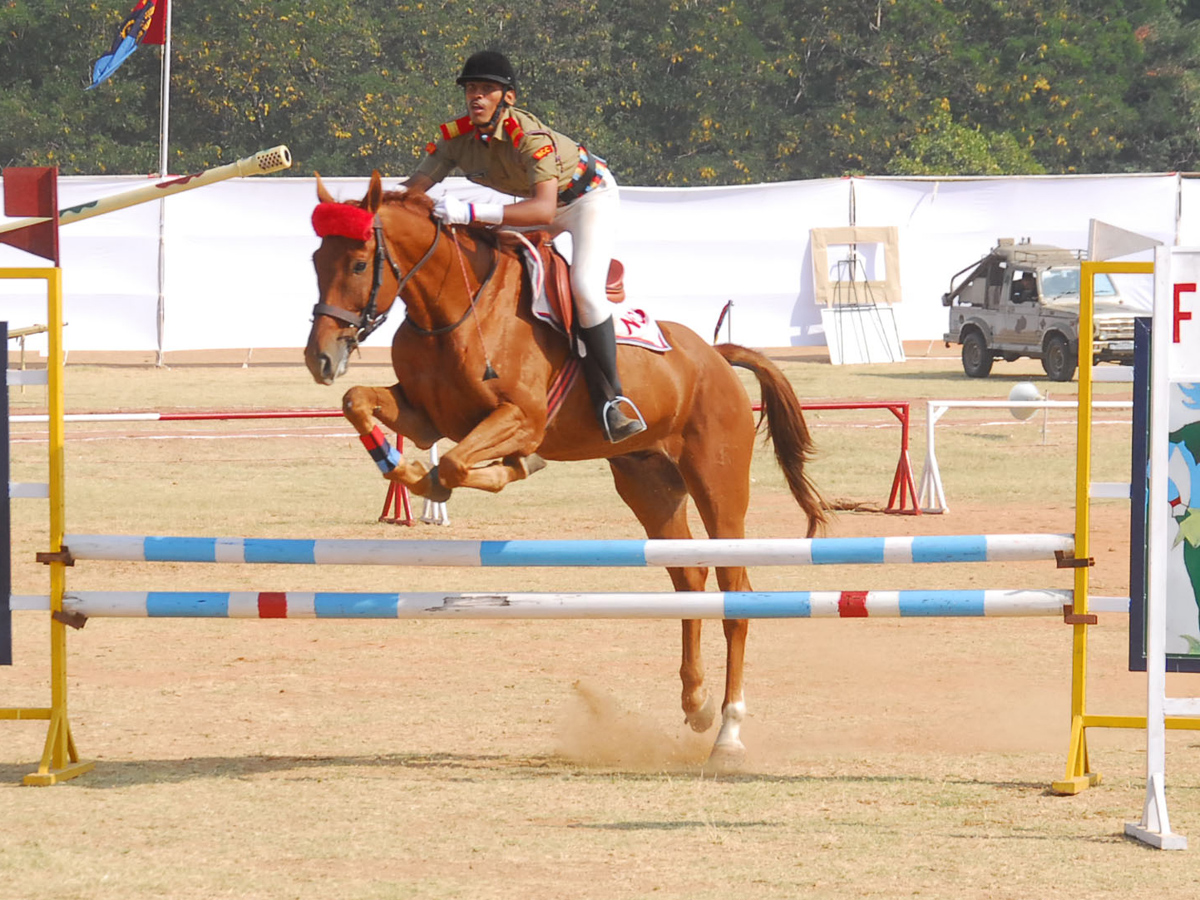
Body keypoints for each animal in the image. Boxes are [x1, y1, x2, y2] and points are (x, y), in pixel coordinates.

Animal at [304, 170, 825, 768]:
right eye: (317, 259)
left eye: (358, 264)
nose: (319, 357)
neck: (453, 308)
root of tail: (715, 355)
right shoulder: (425, 416)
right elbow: (359, 402)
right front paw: (398, 465)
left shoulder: (522, 418)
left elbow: (457, 462)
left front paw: (470, 472)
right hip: (648, 484)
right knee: (689, 579)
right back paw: (695, 705)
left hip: (718, 484)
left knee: (734, 593)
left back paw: (728, 733)